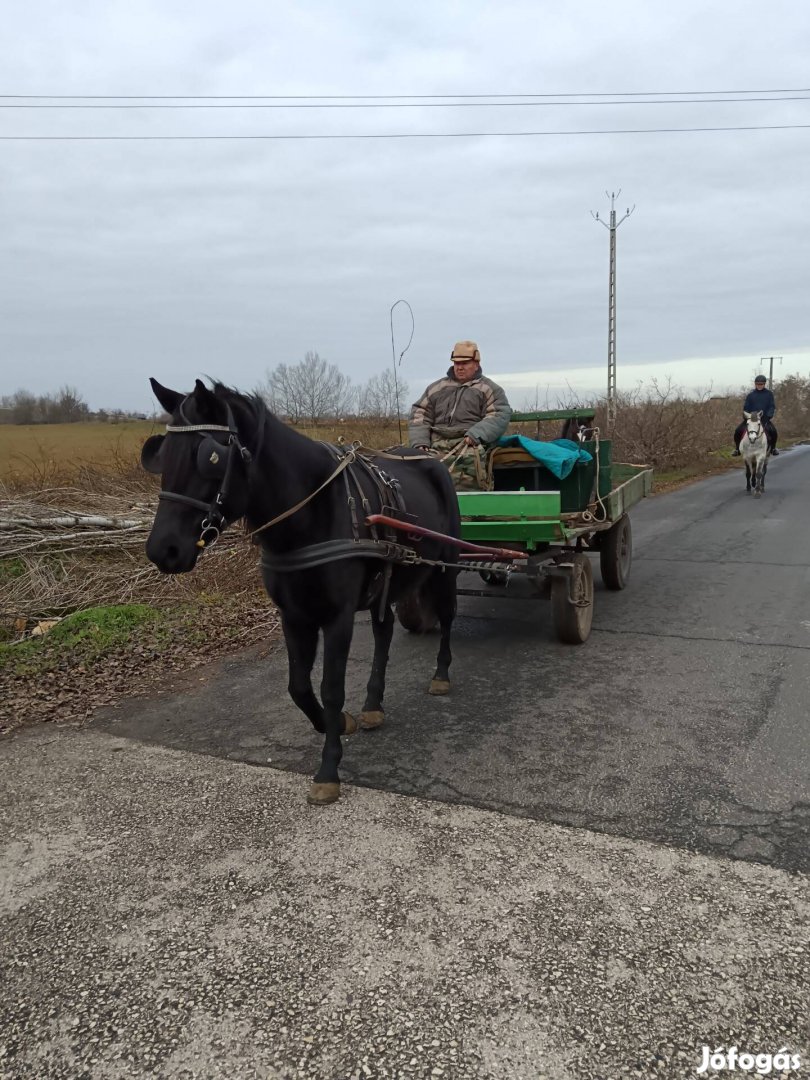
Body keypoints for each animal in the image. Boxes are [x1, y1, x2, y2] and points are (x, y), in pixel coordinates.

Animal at [142, 380, 460, 803]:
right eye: (161, 455)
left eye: (210, 457)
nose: (162, 549)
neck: (313, 513)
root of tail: (432, 460)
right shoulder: (293, 615)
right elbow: (298, 687)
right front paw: (338, 723)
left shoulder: (337, 618)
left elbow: (330, 687)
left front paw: (328, 768)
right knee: (384, 631)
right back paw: (373, 704)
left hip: (446, 567)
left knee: (447, 616)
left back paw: (441, 674)